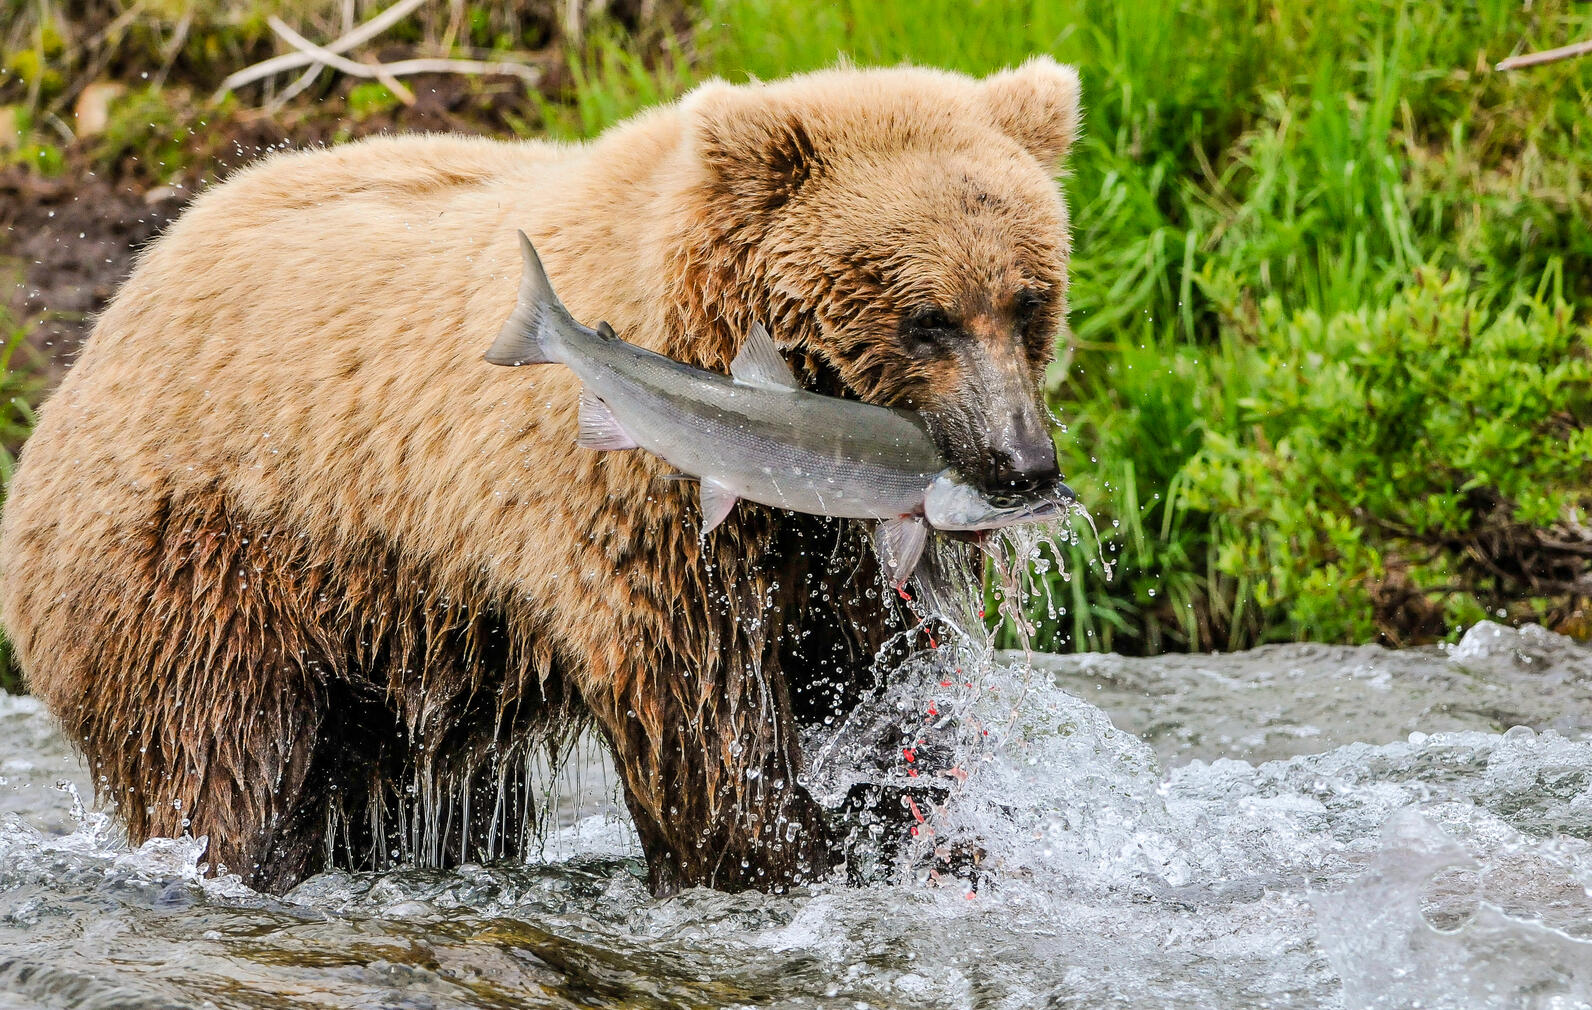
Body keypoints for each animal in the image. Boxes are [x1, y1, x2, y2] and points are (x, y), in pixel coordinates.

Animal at [0, 56, 1082, 885]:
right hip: (210, 563)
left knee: (428, 784)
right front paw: (774, 856)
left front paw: (932, 841)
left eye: (1028, 299)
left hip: (394, 626)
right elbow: (704, 709)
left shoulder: (824, 553)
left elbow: (883, 684)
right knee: (227, 756)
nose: (1023, 462)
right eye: (927, 317)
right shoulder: (645, 520)